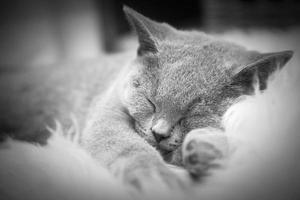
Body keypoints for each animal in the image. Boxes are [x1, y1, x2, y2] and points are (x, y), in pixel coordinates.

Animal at [0, 4, 290, 192]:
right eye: (150, 102)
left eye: (192, 114)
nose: (159, 132)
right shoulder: (108, 113)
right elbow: (128, 147)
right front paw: (157, 181)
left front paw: (204, 149)